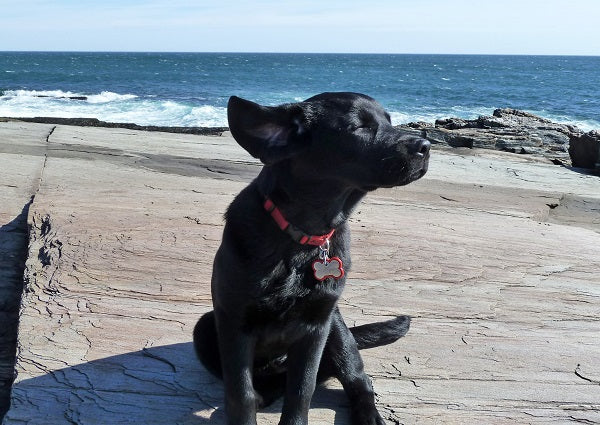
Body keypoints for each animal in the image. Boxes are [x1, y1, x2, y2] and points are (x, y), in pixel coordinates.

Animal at [195, 91, 428, 422]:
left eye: (389, 121)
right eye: (359, 127)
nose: (426, 145)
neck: (305, 236)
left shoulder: (316, 327)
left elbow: (302, 389)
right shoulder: (235, 320)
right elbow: (240, 394)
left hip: (338, 328)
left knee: (357, 378)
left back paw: (369, 415)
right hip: (205, 328)